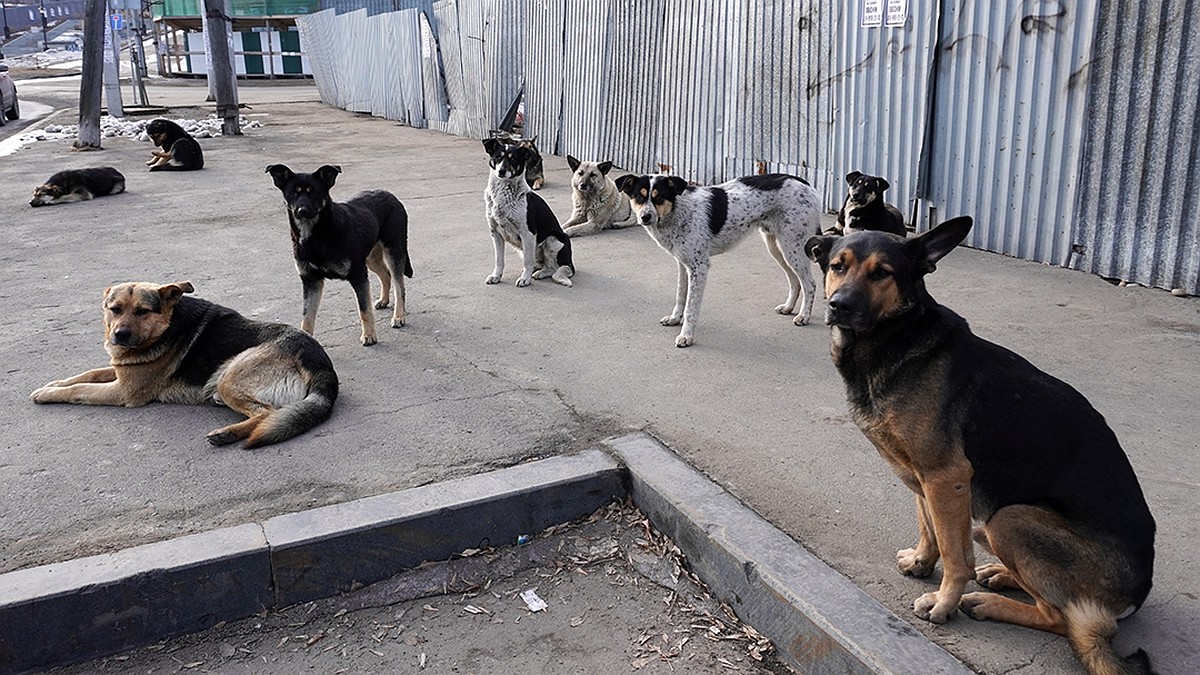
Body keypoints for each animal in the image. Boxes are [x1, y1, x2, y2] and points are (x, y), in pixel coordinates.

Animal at [29, 279, 338, 446]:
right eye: (114, 309)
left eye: (142, 311)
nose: (120, 336)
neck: (167, 326)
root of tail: (322, 364)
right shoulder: (123, 371)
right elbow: (90, 373)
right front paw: (54, 382)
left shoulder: (123, 391)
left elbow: (79, 389)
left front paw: (48, 394)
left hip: (229, 377)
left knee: (267, 412)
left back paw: (227, 434)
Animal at [265, 162, 415, 341]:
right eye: (293, 193)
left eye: (313, 192)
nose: (301, 211)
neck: (318, 235)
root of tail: (391, 196)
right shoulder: (311, 280)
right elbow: (307, 316)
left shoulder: (358, 275)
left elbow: (364, 310)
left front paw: (369, 335)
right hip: (370, 257)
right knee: (386, 275)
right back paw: (384, 300)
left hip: (393, 251)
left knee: (399, 285)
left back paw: (398, 316)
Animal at [614, 170, 820, 348]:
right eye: (639, 196)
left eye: (659, 197)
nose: (645, 217)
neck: (677, 211)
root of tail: (807, 184)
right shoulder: (683, 264)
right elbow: (680, 295)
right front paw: (674, 319)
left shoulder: (699, 267)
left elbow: (691, 307)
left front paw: (686, 336)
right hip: (777, 247)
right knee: (795, 281)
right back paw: (788, 307)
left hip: (792, 246)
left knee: (809, 283)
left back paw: (804, 316)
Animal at [801, 216, 1156, 672]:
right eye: (837, 266)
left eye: (883, 273)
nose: (839, 305)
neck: (898, 337)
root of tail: (1137, 594)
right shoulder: (923, 478)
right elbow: (931, 528)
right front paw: (921, 562)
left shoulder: (946, 477)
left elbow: (955, 555)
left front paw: (944, 602)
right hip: (989, 526)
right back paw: (1000, 575)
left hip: (1009, 518)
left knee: (1061, 618)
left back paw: (988, 603)